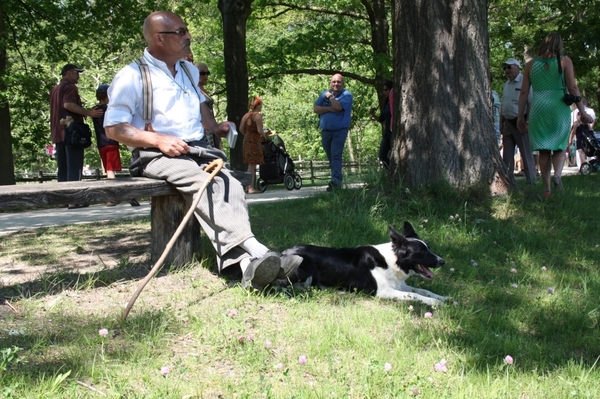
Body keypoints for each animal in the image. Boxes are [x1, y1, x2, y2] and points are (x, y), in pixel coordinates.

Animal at [278, 222, 448, 306]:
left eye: (429, 248)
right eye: (422, 252)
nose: (443, 262)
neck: (390, 261)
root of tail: (283, 252)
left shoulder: (400, 286)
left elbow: (423, 290)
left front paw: (444, 298)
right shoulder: (383, 292)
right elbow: (415, 295)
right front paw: (435, 302)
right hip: (302, 266)